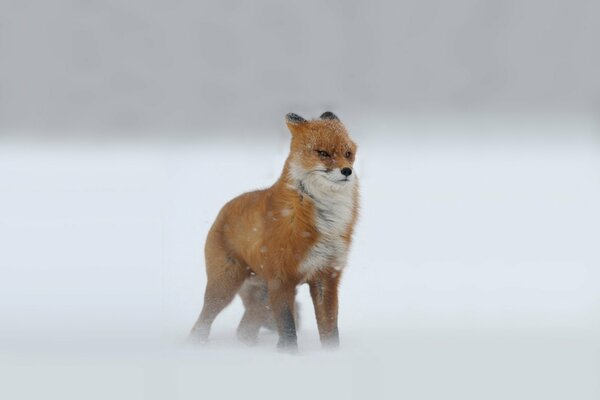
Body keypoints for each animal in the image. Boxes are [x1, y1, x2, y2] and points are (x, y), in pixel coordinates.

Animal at [192, 111, 358, 348]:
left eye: (348, 153)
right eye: (323, 153)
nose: (347, 171)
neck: (323, 220)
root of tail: (224, 210)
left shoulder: (326, 276)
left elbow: (330, 330)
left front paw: (332, 355)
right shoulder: (281, 279)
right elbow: (288, 329)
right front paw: (288, 355)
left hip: (262, 296)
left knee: (245, 330)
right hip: (224, 287)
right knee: (201, 324)